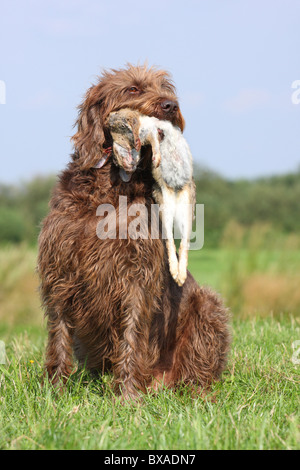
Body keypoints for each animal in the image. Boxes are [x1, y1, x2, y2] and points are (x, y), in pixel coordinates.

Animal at [37, 63, 230, 400]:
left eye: (167, 90)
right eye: (133, 89)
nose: (170, 106)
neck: (109, 186)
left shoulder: (136, 275)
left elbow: (132, 332)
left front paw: (127, 394)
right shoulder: (60, 269)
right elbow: (58, 335)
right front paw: (55, 391)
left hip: (207, 305)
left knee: (197, 368)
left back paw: (196, 392)